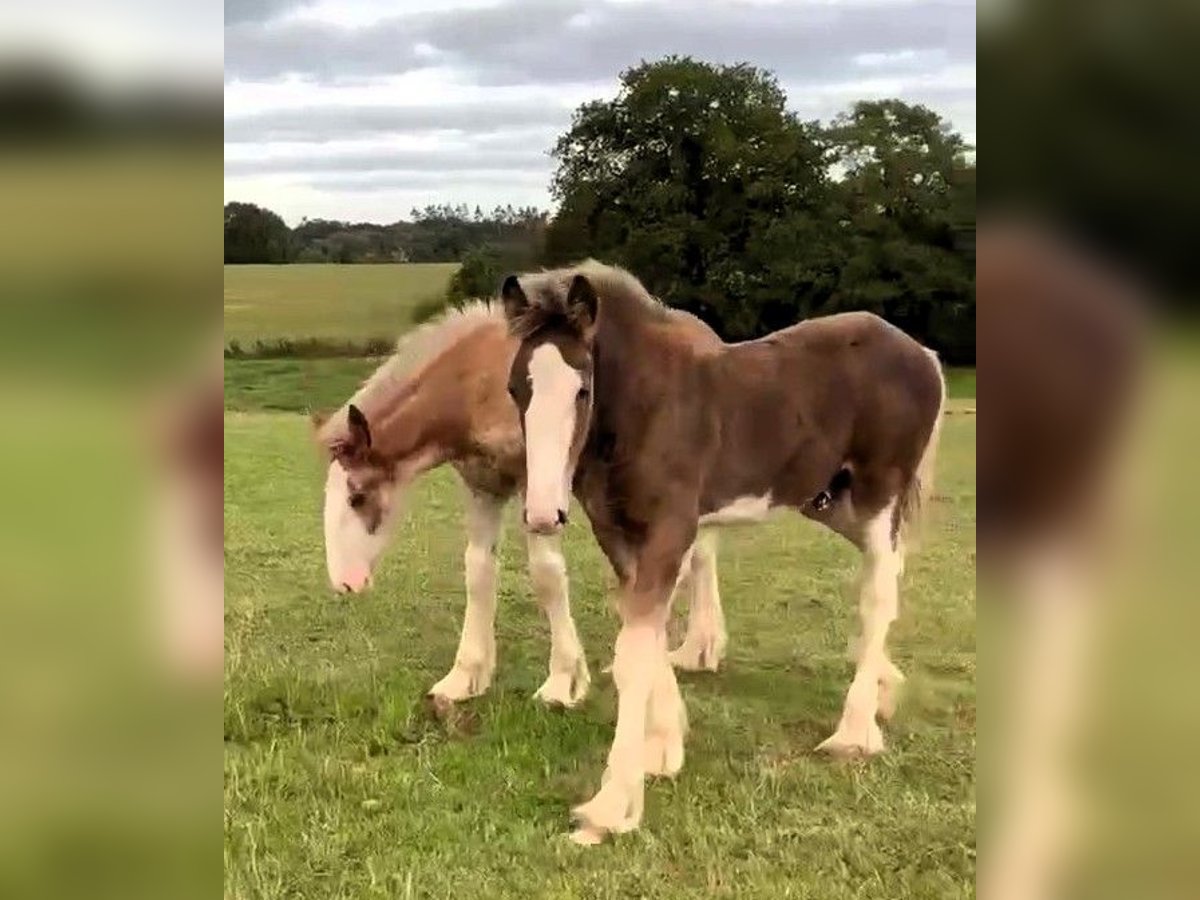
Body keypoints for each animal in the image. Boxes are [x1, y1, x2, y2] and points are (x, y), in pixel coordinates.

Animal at [312, 301, 729, 710]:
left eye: (357, 496)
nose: (345, 583)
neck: (477, 382)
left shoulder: (537, 487)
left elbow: (546, 573)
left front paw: (564, 682)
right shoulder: (483, 487)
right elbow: (478, 570)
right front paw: (464, 678)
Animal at [500, 261, 946, 843]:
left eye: (582, 389)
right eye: (515, 389)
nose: (541, 514)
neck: (648, 409)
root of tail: (924, 355)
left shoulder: (670, 530)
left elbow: (632, 655)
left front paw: (610, 808)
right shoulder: (619, 535)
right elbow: (645, 636)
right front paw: (663, 748)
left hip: (877, 498)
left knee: (878, 595)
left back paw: (854, 733)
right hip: (831, 503)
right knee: (891, 571)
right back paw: (884, 691)